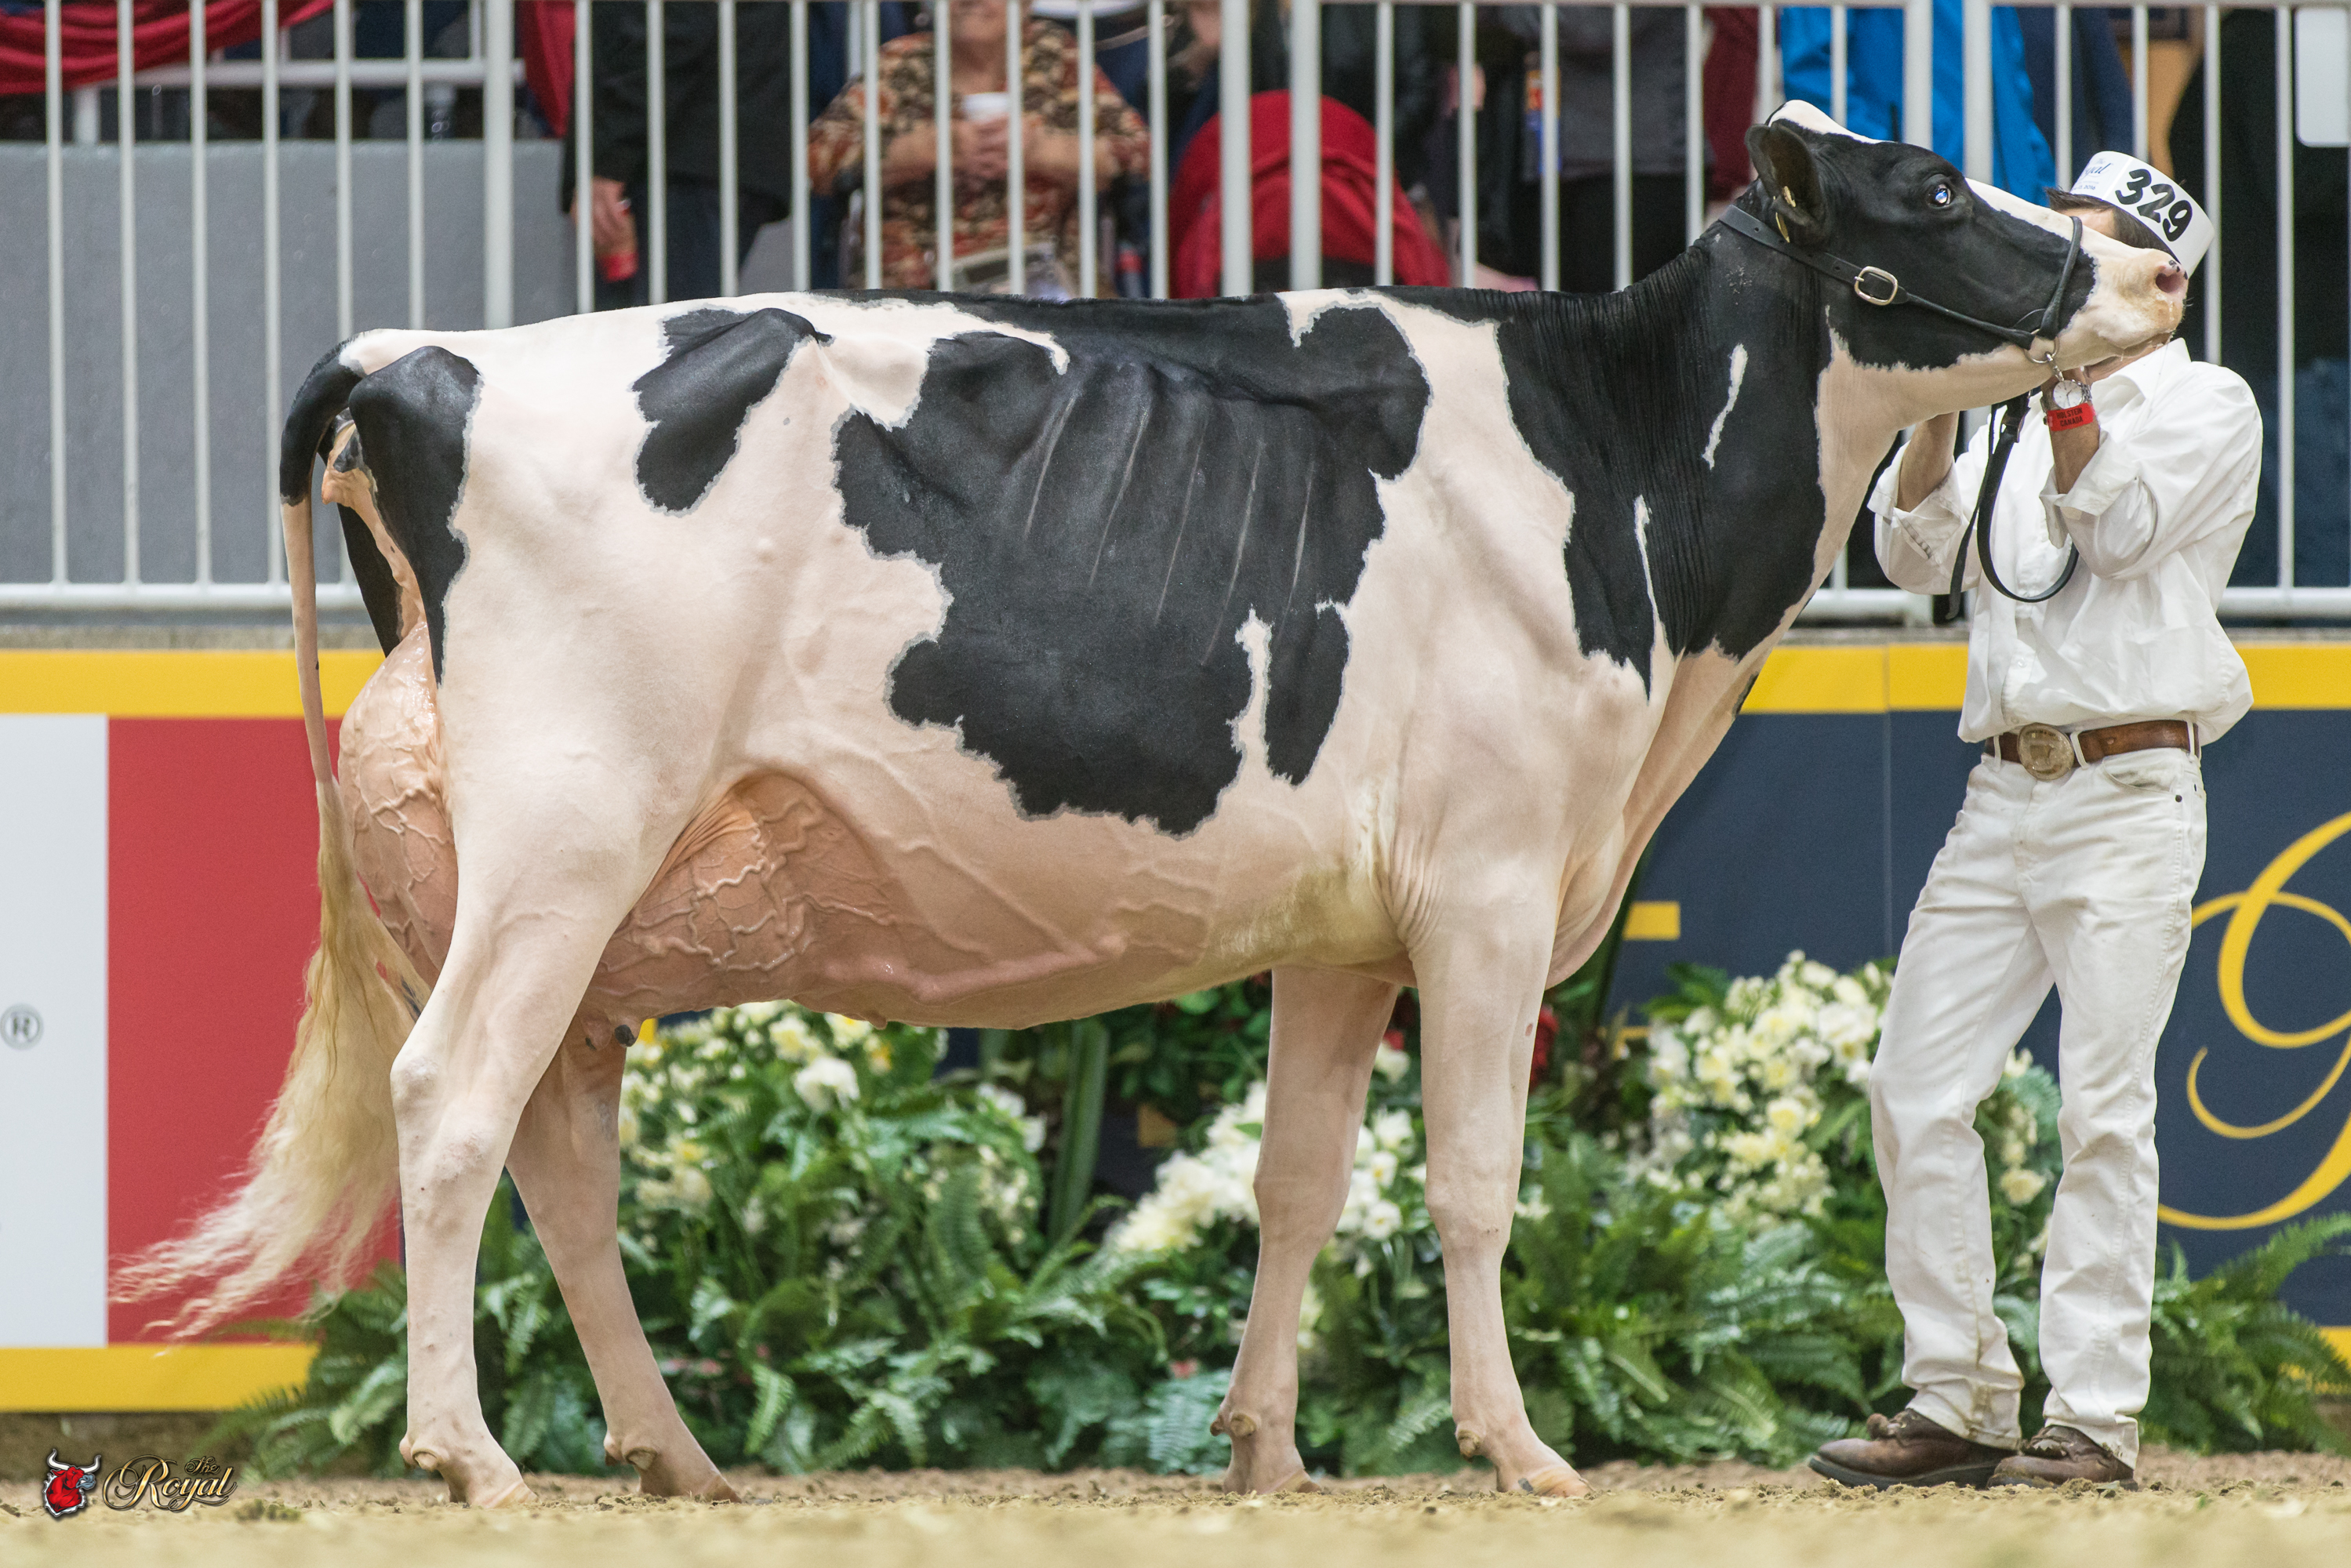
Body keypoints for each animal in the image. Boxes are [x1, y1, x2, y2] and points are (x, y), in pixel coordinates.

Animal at [120, 106, 2183, 1507]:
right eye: (1933, 194)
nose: (2161, 262)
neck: (1616, 473)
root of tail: (426, 352)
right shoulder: (1491, 882)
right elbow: (1471, 1178)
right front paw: (1515, 1444)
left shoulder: (1347, 926)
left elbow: (1294, 1182)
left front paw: (1265, 1445)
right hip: (563, 830)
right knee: (450, 1103)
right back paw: (470, 1452)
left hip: (596, 896)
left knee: (558, 1148)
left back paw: (674, 1453)